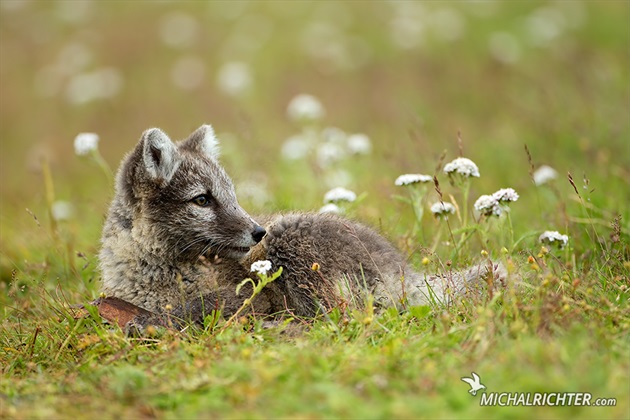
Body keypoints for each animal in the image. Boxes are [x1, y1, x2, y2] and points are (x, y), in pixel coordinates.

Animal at [100, 124, 504, 324]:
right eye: (202, 199)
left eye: (231, 196)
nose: (257, 232)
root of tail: (402, 270)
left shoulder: (248, 294)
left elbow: (195, 307)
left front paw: (153, 321)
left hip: (289, 244)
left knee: (338, 317)